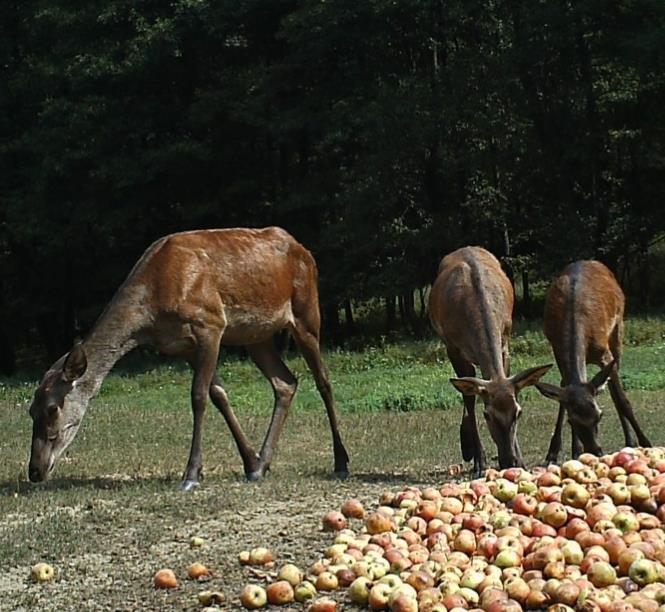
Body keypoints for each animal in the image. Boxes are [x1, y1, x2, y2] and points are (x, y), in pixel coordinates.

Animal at [26, 227, 348, 490]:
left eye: (53, 408)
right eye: (30, 410)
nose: (35, 471)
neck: (151, 314)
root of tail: (303, 250)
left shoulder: (210, 324)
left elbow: (199, 396)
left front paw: (192, 473)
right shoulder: (183, 346)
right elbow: (218, 395)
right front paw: (251, 462)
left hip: (306, 311)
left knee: (323, 381)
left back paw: (341, 462)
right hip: (256, 335)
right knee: (285, 382)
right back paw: (265, 464)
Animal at [428, 246, 552, 476]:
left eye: (518, 412)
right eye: (487, 415)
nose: (509, 461)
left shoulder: (505, 340)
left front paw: (521, 459)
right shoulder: (453, 348)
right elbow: (469, 397)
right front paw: (480, 461)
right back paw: (467, 447)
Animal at [532, 260, 652, 464]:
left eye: (599, 416)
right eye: (572, 421)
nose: (595, 451)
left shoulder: (604, 354)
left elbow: (623, 401)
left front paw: (646, 443)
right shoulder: (557, 351)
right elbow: (563, 394)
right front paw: (557, 452)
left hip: (618, 329)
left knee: (615, 389)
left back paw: (630, 440)